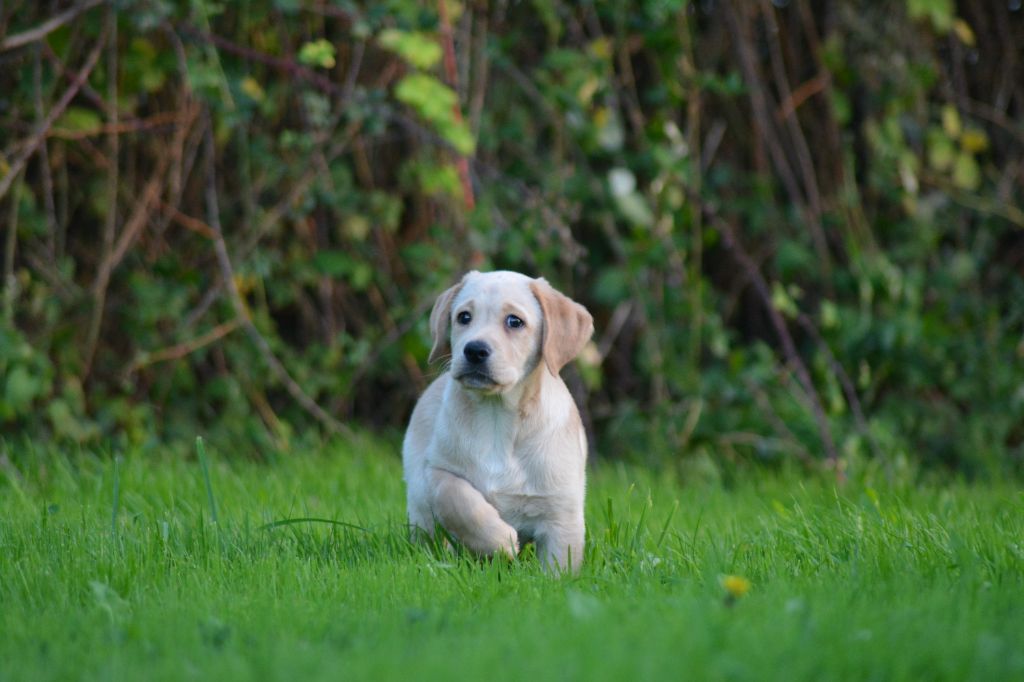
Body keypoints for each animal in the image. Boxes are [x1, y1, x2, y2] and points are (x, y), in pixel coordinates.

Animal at [399, 268, 593, 569]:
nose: (474, 350)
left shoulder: (562, 513)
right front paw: (501, 542)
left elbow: (559, 567)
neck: (496, 416)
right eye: (464, 317)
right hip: (420, 504)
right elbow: (458, 500)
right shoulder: (438, 469)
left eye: (514, 321)